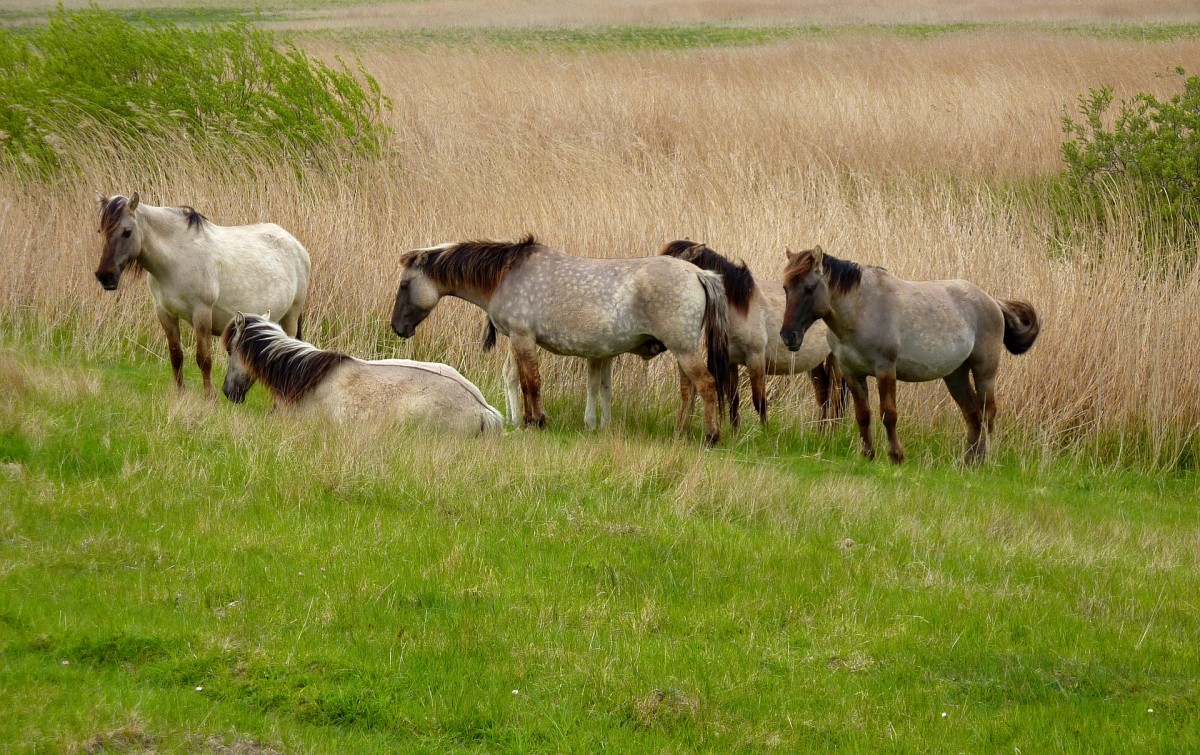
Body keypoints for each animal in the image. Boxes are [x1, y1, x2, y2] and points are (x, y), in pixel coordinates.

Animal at [94, 190, 309, 398]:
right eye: (100, 231)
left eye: (127, 232)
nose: (105, 276)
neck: (176, 259)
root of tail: (296, 245)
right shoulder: (165, 312)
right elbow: (176, 355)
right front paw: (180, 394)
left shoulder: (202, 313)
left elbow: (204, 358)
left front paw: (209, 397)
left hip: (291, 316)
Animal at [393, 235, 729, 444]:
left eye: (405, 285)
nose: (397, 327)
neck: (507, 275)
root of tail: (699, 274)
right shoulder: (520, 341)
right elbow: (524, 381)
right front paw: (530, 420)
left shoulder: (523, 339)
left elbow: (531, 382)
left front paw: (538, 420)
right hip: (681, 352)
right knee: (688, 391)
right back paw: (680, 432)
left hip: (684, 350)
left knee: (706, 385)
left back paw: (711, 437)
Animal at [657, 241, 844, 429]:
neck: (740, 306)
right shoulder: (731, 361)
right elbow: (733, 401)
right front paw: (735, 432)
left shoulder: (755, 358)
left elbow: (759, 402)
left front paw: (765, 432)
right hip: (815, 362)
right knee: (823, 394)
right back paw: (821, 432)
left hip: (835, 360)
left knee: (835, 396)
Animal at [777, 244, 1041, 463]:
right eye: (786, 288)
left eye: (810, 288)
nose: (789, 336)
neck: (861, 309)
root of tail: (993, 302)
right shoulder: (851, 373)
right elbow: (863, 414)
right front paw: (868, 455)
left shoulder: (885, 369)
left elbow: (888, 414)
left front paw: (896, 456)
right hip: (956, 375)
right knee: (972, 414)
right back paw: (968, 461)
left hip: (984, 371)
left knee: (988, 413)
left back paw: (983, 460)